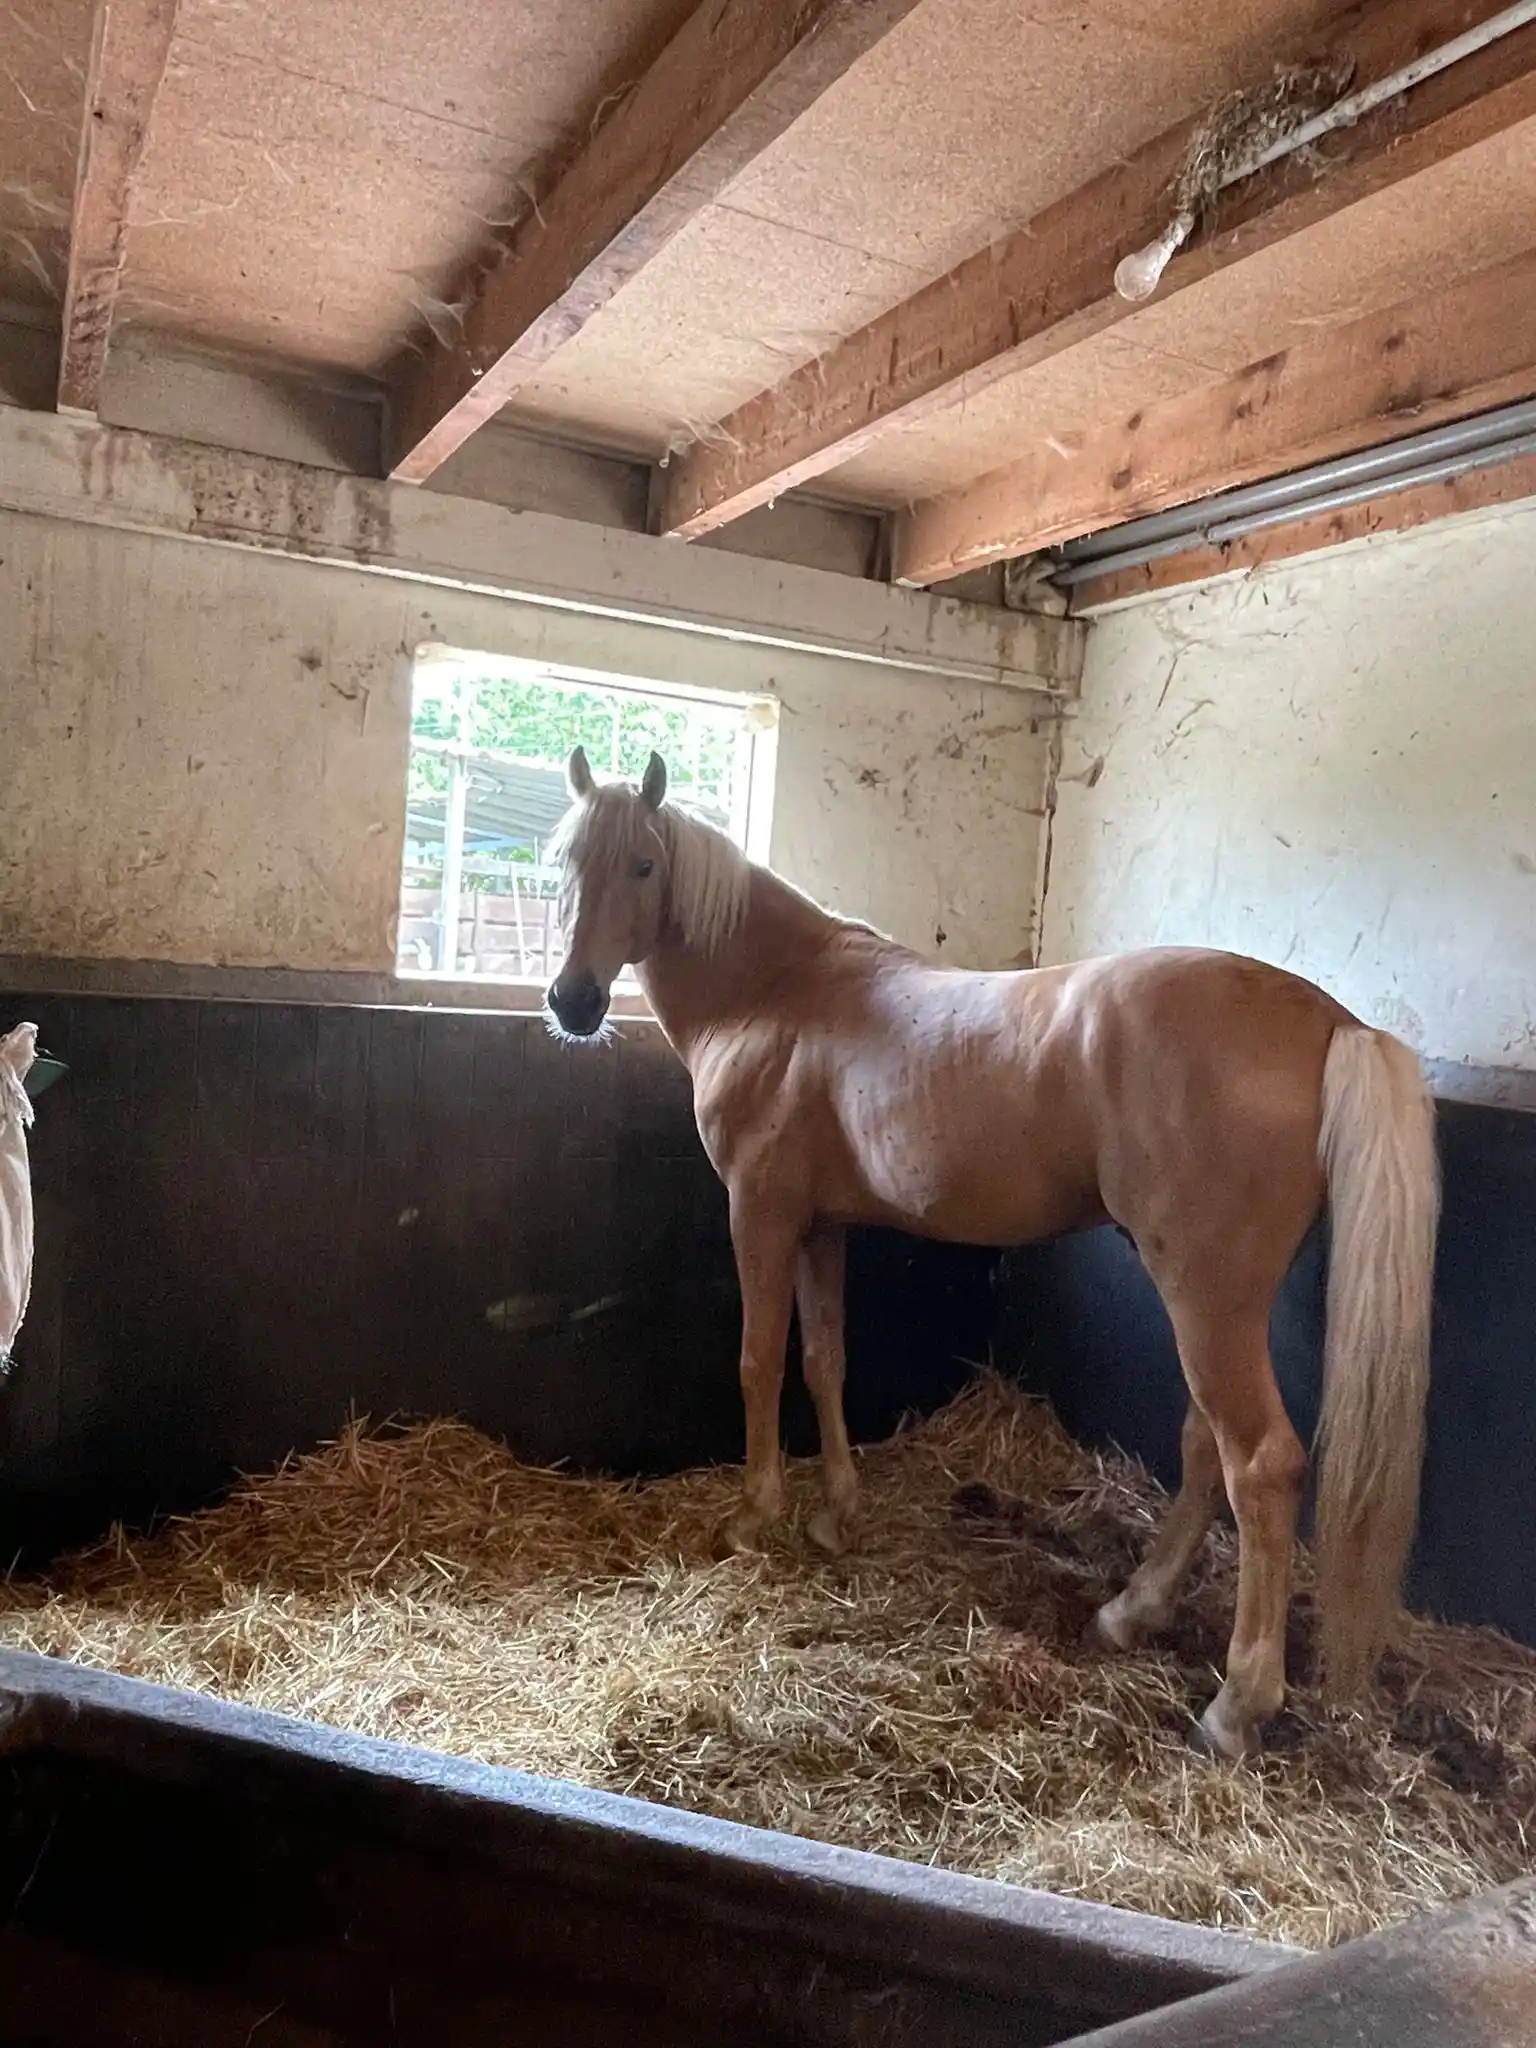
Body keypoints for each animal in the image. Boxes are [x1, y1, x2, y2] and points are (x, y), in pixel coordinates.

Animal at [545, 746, 1439, 1761]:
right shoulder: (820, 1225)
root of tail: (1331, 1020)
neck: (776, 993)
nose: (572, 1002)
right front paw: (836, 1512)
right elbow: (823, 1360)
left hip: (1205, 1298)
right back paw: (1131, 1613)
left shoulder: (761, 1214)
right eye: (564, 862)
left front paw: (755, 1515)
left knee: (1260, 1464)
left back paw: (1236, 1705)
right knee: (1204, 1446)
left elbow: (758, 1361)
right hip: (1216, 1302)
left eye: (643, 866)